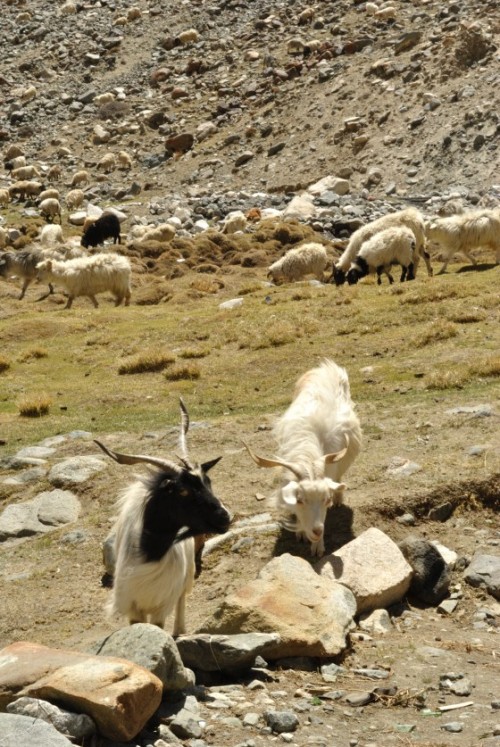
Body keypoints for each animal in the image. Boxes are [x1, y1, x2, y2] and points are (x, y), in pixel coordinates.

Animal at [94, 400, 231, 636]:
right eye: (183, 491)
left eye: (208, 482)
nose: (224, 517)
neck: (149, 555)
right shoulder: (132, 604)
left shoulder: (162, 602)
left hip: (186, 575)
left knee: (182, 600)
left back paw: (180, 630)